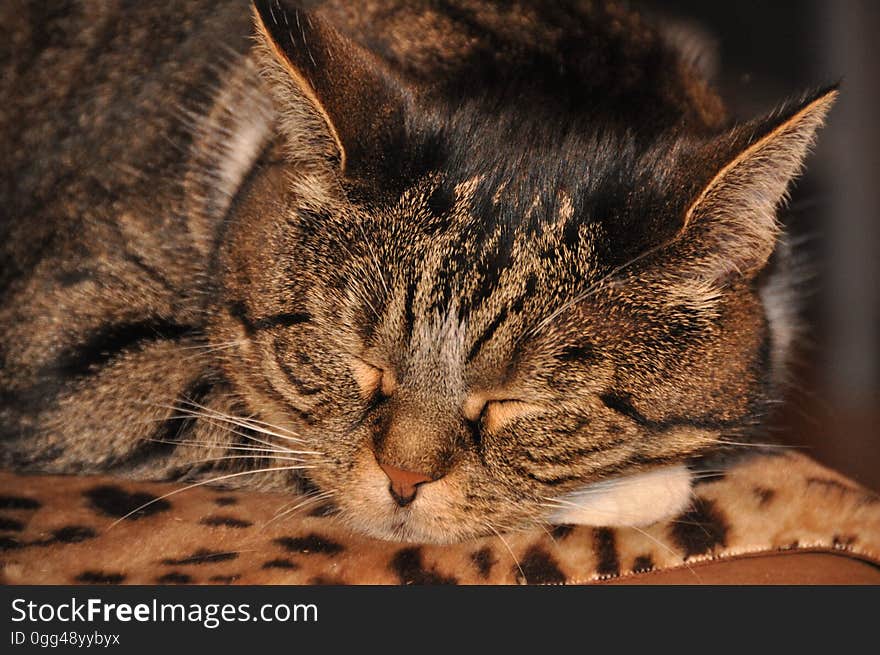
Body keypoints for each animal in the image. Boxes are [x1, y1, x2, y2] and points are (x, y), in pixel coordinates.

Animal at [0, 0, 836, 544]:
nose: (403, 481)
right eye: (354, 359)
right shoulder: (64, 349)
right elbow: (249, 423)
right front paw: (645, 486)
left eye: (524, 402)